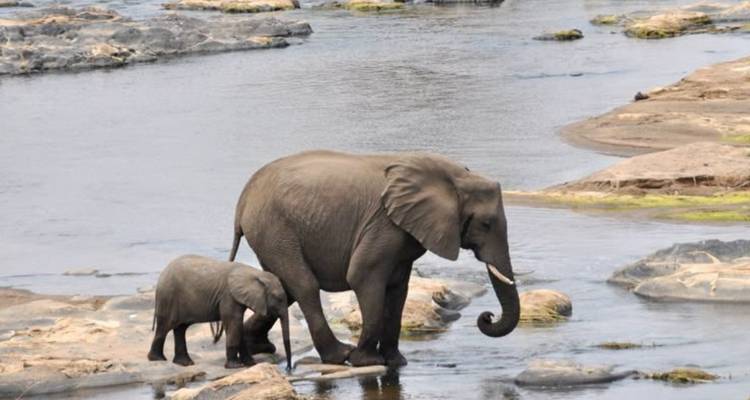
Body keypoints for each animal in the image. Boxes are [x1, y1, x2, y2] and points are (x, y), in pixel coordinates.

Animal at [147, 255, 292, 370]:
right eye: (279, 299)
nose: (288, 369)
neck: (254, 273)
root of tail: (161, 276)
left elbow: (237, 326)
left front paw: (251, 363)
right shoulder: (228, 296)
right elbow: (234, 324)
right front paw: (235, 366)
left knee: (180, 329)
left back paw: (184, 363)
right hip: (168, 297)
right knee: (165, 327)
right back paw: (157, 359)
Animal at [228, 150, 519, 367]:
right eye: (486, 224)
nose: (487, 316)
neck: (456, 177)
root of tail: (242, 200)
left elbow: (399, 288)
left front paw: (397, 362)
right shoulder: (384, 225)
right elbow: (362, 276)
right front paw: (367, 362)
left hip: (271, 233)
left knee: (283, 288)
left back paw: (259, 347)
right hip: (274, 228)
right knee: (304, 286)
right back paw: (339, 355)